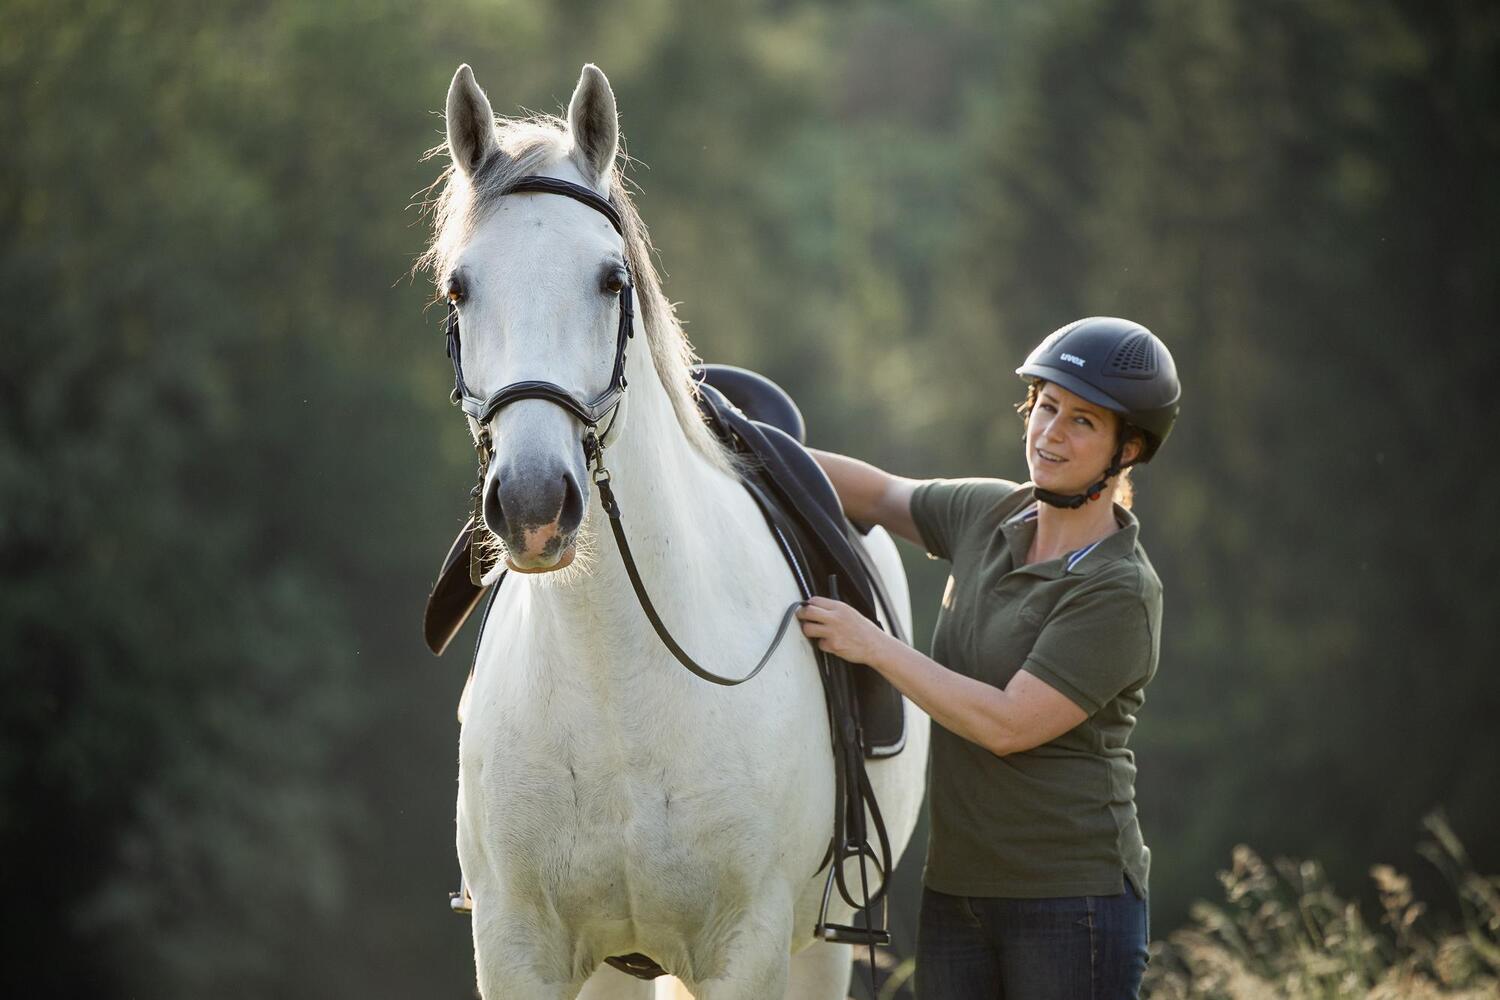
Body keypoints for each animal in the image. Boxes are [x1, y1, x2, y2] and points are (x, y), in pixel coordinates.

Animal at [423, 64, 930, 1000]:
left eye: (610, 280)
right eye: (459, 288)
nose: (535, 504)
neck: (613, 680)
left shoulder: (747, 949)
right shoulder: (517, 950)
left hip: (817, 947)